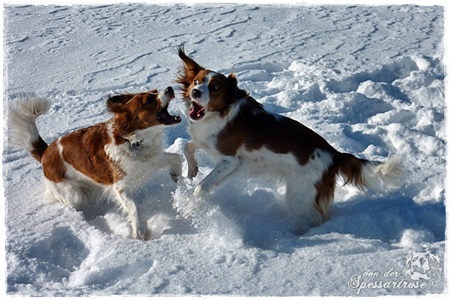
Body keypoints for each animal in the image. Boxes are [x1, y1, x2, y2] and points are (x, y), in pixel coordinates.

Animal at [8, 86, 181, 239]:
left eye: (154, 91)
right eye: (148, 100)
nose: (170, 88)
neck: (132, 140)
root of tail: (45, 153)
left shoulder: (152, 160)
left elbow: (176, 157)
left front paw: (177, 176)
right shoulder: (120, 187)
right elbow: (135, 208)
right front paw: (140, 231)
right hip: (74, 195)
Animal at [175, 48, 404, 232]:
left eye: (214, 88)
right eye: (196, 81)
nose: (195, 92)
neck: (218, 115)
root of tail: (335, 155)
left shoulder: (230, 161)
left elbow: (200, 187)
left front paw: (187, 210)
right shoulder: (206, 143)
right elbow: (188, 146)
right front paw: (192, 170)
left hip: (300, 194)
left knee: (317, 218)